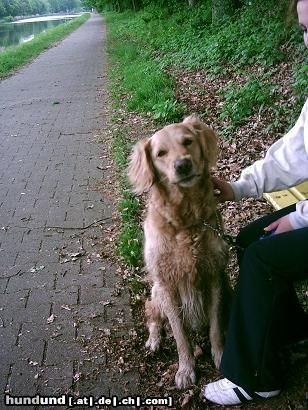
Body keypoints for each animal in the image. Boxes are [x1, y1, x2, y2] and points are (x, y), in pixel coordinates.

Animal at [127, 114, 231, 388]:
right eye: (160, 153)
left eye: (188, 141)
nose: (183, 165)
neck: (186, 221)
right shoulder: (167, 285)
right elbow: (180, 335)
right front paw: (186, 369)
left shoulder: (214, 275)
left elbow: (215, 327)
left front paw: (220, 355)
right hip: (156, 293)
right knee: (153, 317)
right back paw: (154, 340)